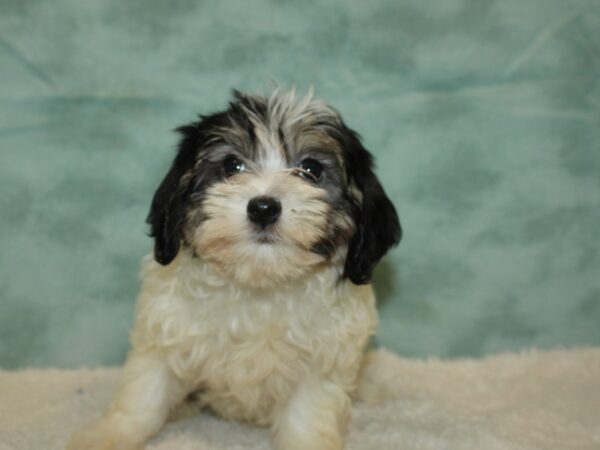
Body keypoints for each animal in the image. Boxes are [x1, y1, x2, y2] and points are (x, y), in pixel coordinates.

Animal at [68, 88, 400, 450]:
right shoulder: (165, 331)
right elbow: (144, 394)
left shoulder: (323, 360)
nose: (263, 207)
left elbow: (306, 416)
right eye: (232, 166)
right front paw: (108, 434)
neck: (258, 280)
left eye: (311, 169)